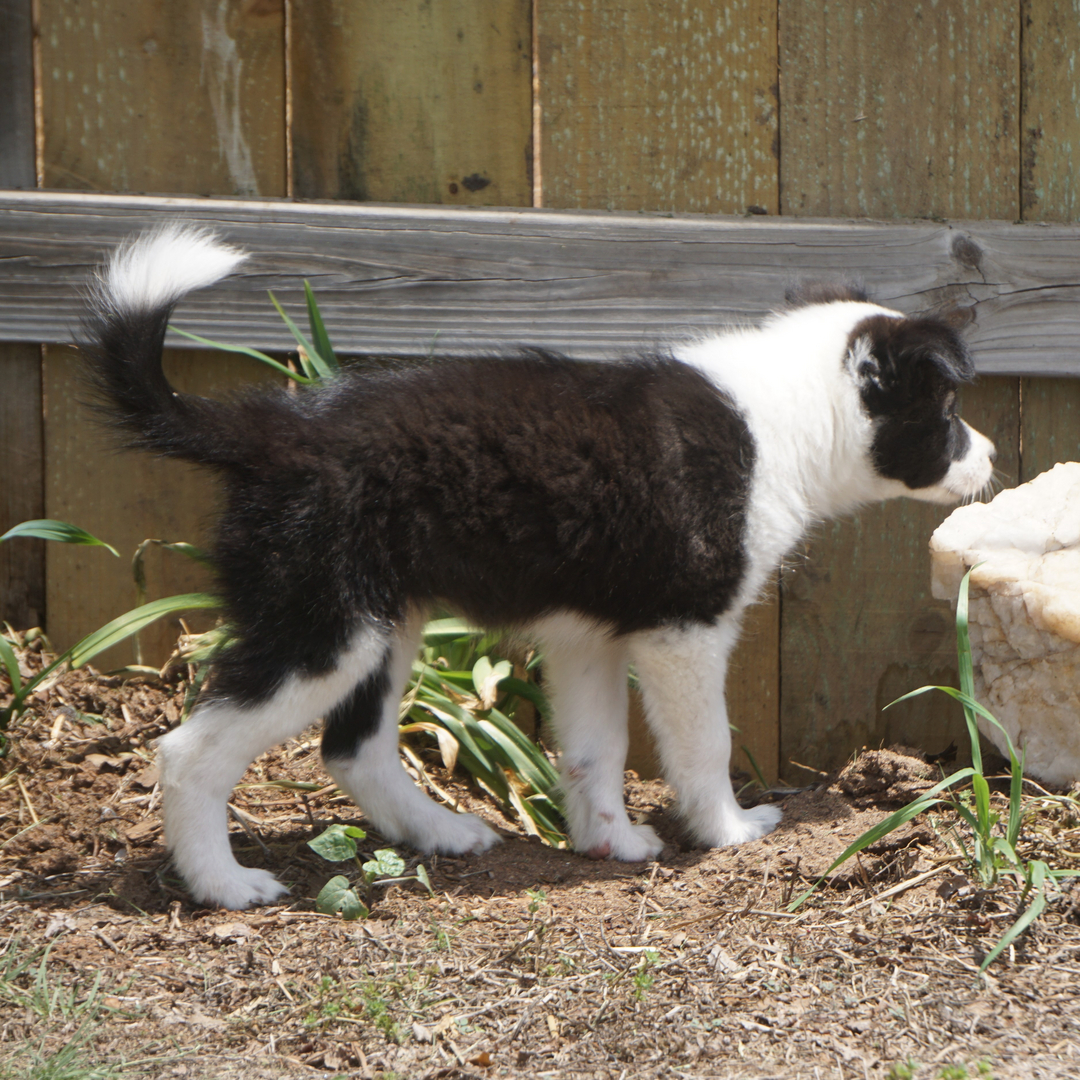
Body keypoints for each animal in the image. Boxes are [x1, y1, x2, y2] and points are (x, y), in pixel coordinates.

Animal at [84, 227, 993, 911]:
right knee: (189, 753)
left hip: (382, 621)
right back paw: (224, 884)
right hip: (322, 626)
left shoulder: (588, 638)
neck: (787, 423)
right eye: (948, 411)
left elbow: (596, 749)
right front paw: (728, 832)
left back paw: (443, 833)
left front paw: (611, 841)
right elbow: (704, 743)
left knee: (354, 747)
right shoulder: (684, 631)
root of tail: (273, 433)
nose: (990, 458)